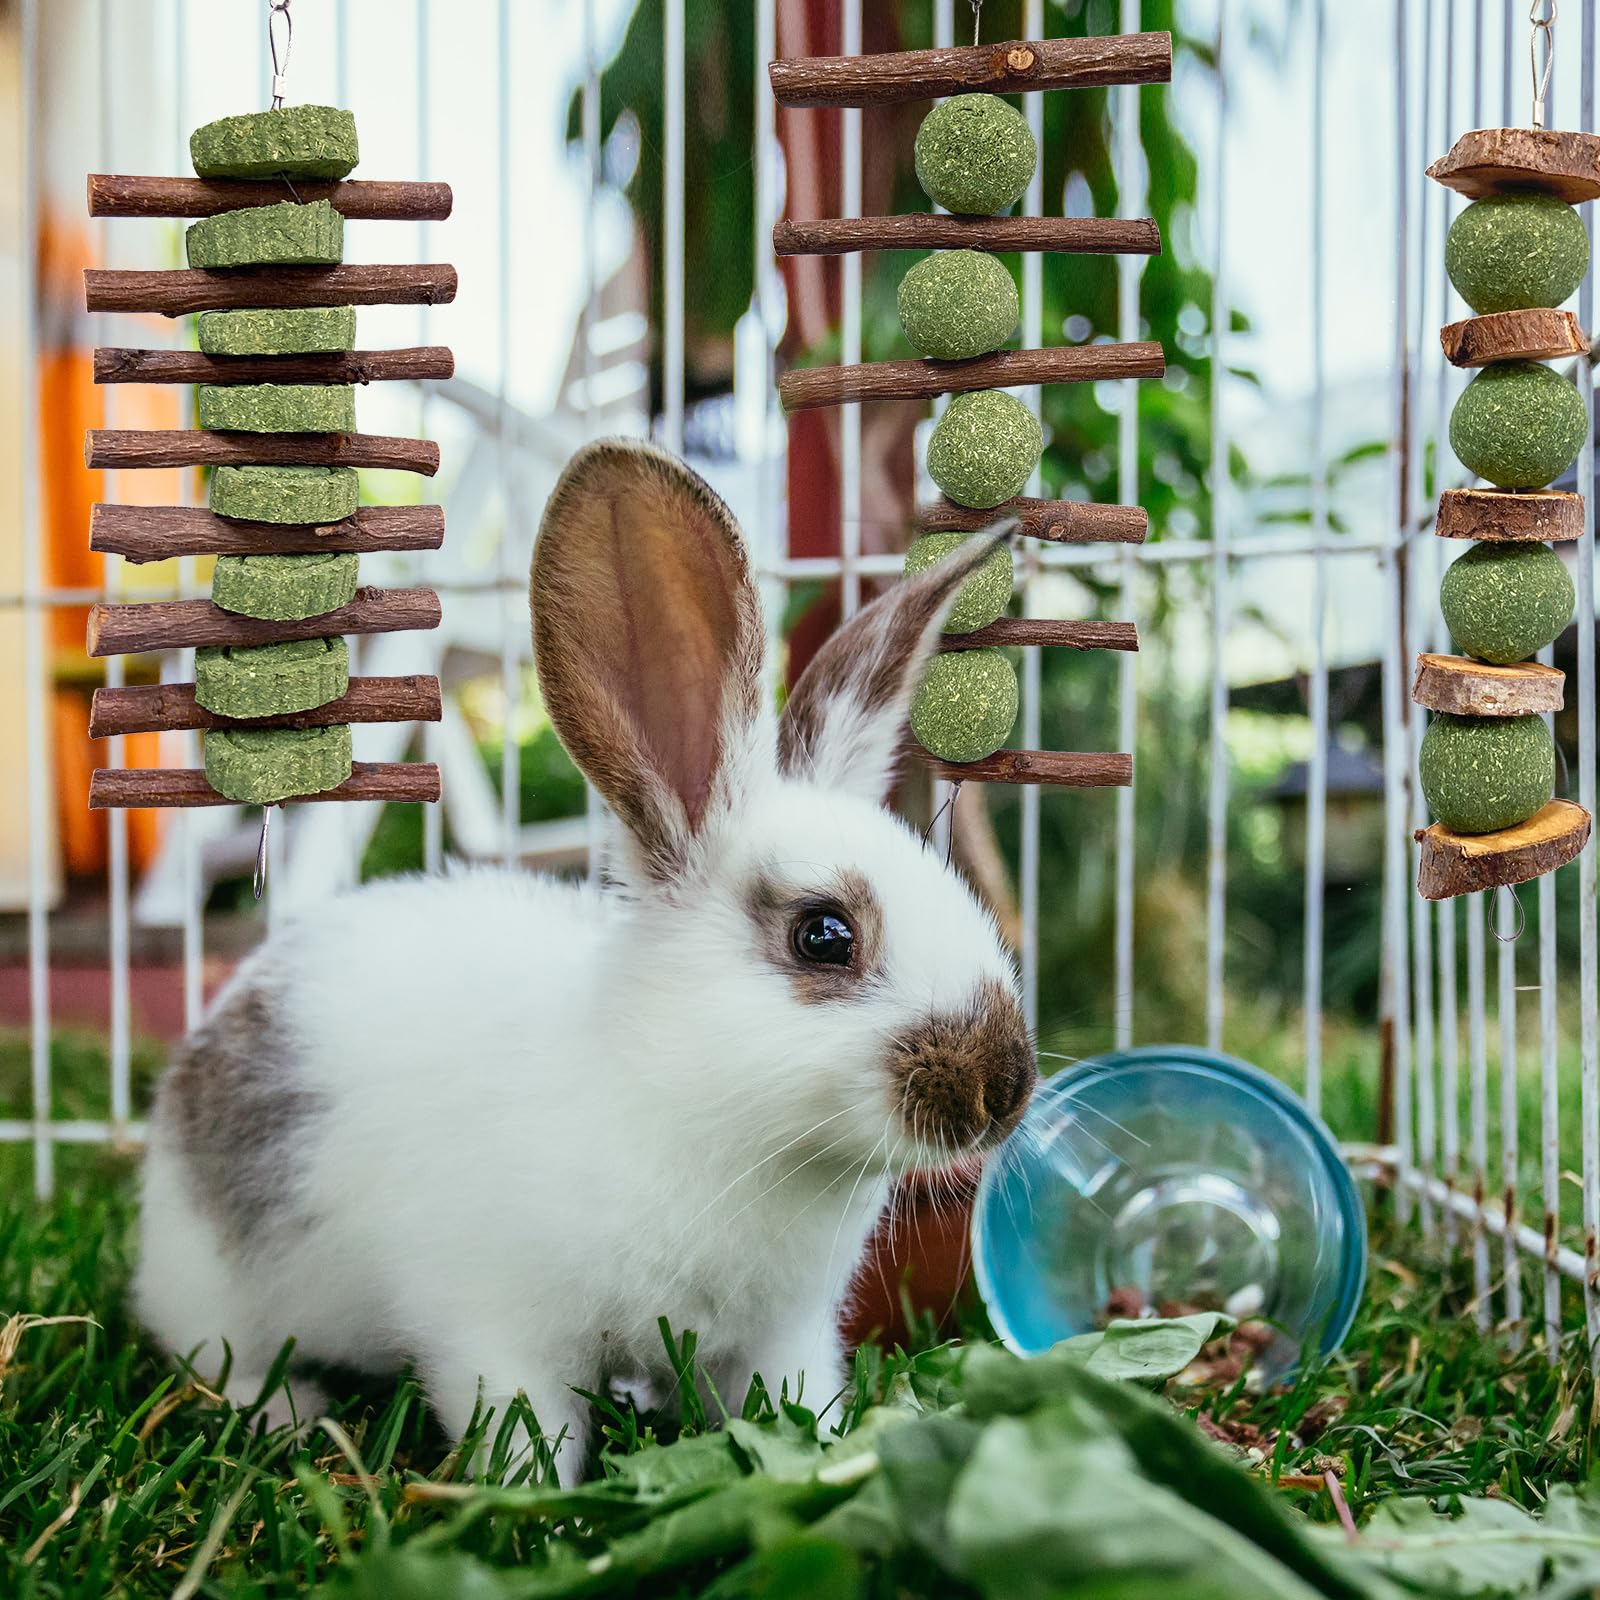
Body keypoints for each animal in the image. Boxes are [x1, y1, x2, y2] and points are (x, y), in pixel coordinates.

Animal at [133, 440, 1035, 1479]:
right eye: (824, 935)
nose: (1007, 1087)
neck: (701, 1113)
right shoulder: (498, 1331)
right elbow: (524, 1429)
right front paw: (526, 1498)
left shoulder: (786, 1335)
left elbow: (795, 1401)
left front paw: (823, 1457)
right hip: (215, 1290)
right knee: (216, 1358)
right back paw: (286, 1409)